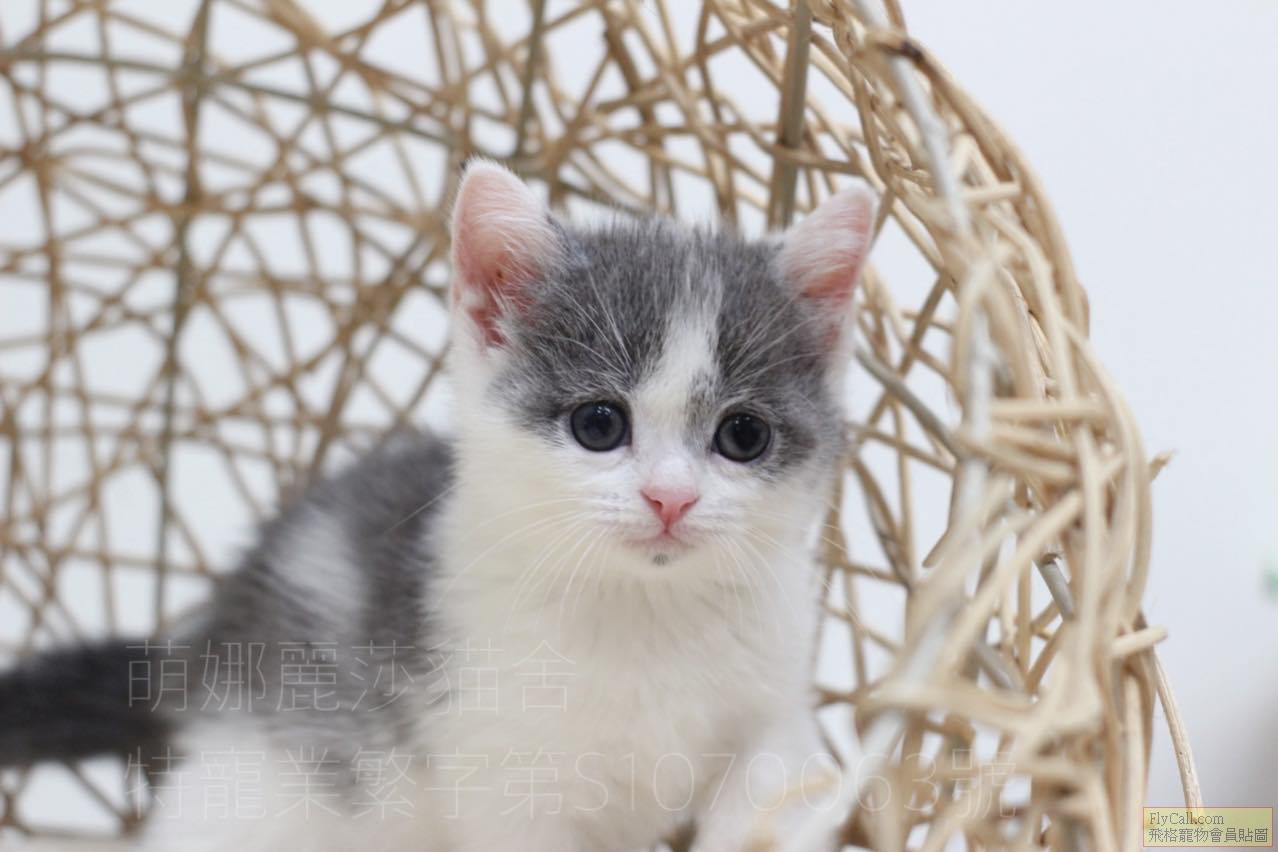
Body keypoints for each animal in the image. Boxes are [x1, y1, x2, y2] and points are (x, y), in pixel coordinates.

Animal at [0, 160, 875, 852]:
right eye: (599, 424)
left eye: (743, 436)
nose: (671, 497)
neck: (645, 615)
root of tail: (193, 660)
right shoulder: (502, 775)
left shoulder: (776, 704)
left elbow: (771, 797)